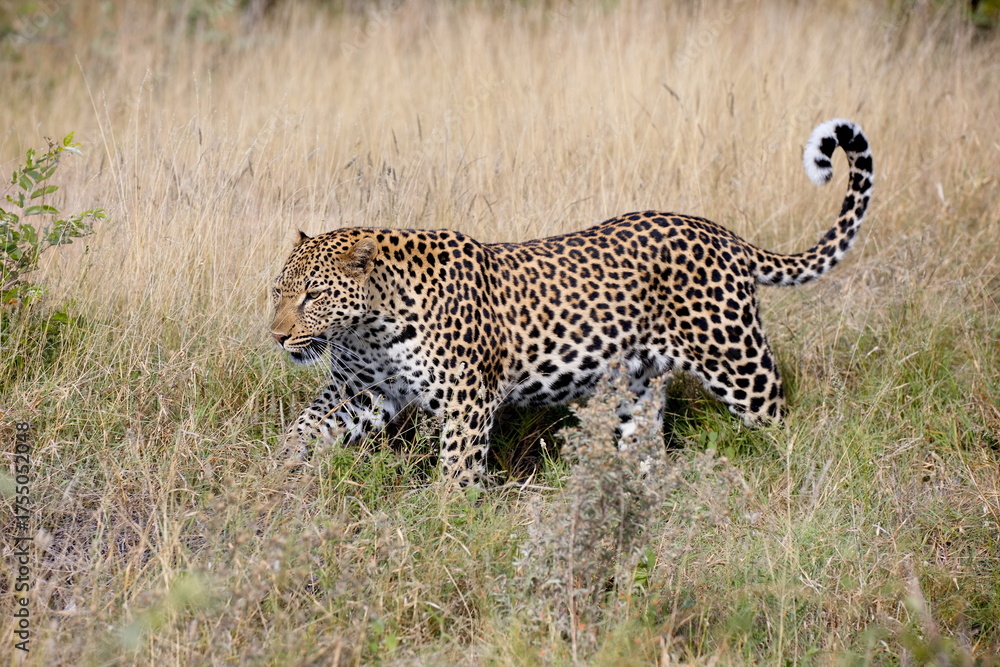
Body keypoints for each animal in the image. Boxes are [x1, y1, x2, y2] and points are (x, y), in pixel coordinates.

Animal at [270, 119, 873, 488]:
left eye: (313, 295)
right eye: (278, 291)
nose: (276, 335)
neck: (369, 326)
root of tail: (724, 234)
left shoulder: (469, 398)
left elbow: (458, 465)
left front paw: (447, 517)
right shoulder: (359, 389)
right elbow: (304, 426)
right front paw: (277, 473)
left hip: (737, 362)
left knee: (779, 419)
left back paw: (792, 473)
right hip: (637, 382)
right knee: (643, 443)